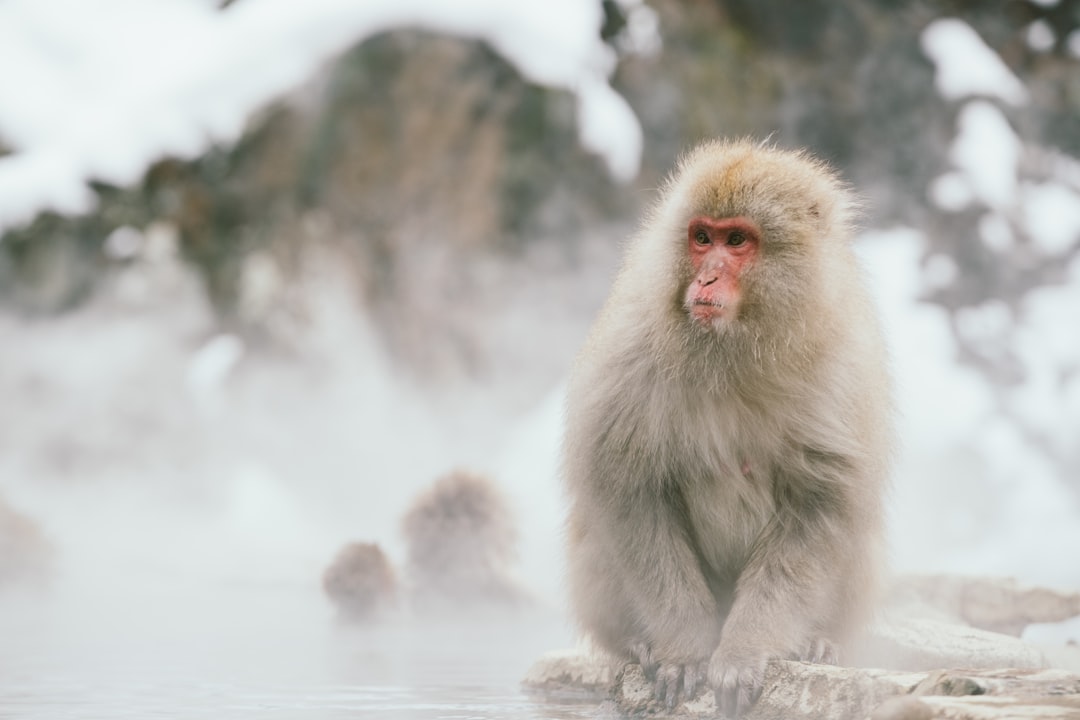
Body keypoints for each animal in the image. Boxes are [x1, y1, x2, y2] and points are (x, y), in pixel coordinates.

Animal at [562, 139, 891, 717]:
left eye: (737, 240)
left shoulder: (841, 371)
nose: (706, 279)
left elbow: (820, 507)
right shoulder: (631, 351)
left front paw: (744, 652)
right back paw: (638, 642)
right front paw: (686, 651)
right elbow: (629, 492)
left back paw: (817, 641)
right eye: (702, 238)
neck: (733, 352)